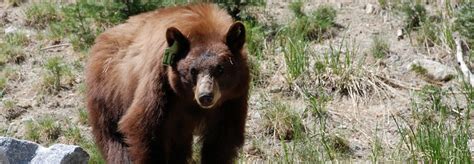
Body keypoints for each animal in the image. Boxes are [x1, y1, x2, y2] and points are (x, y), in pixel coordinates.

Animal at [84, 2, 250, 164]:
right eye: (193, 70)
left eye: (220, 68)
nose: (205, 96)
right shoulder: (161, 81)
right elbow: (144, 127)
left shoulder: (233, 98)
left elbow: (222, 137)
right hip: (109, 96)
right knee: (114, 140)